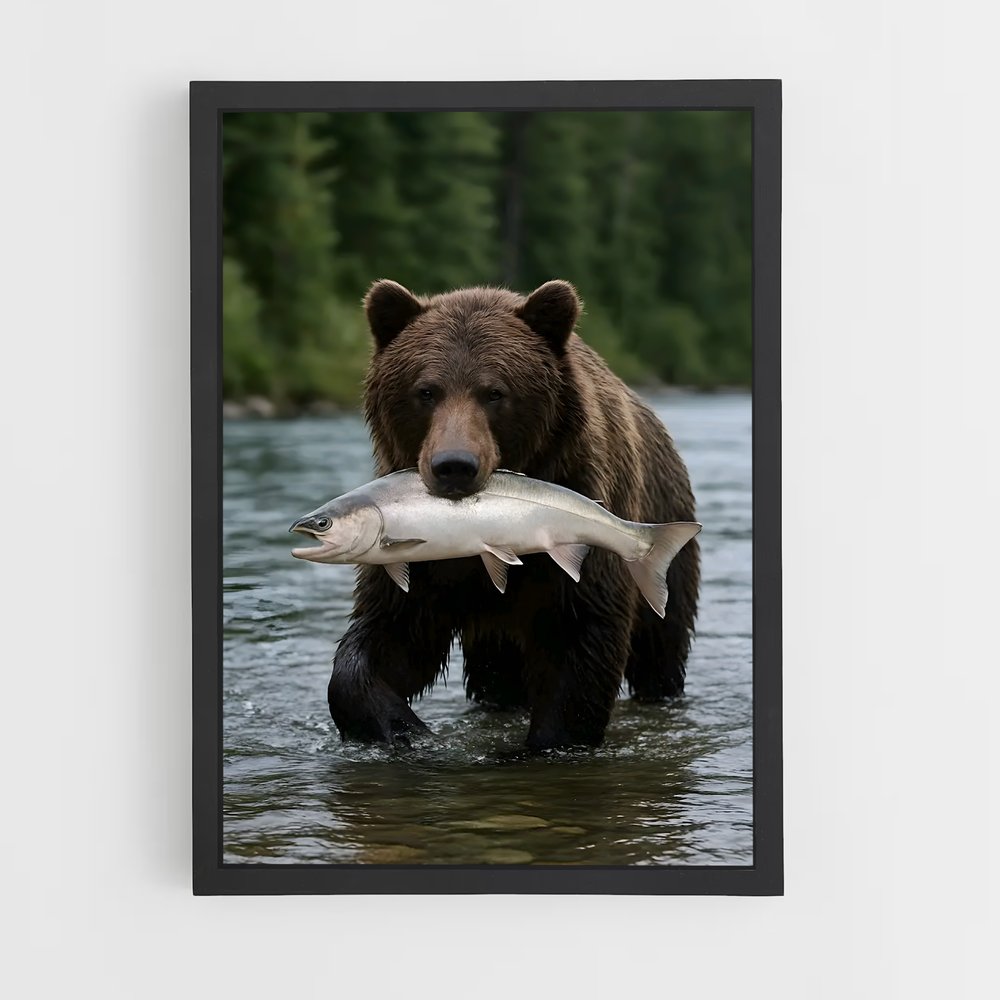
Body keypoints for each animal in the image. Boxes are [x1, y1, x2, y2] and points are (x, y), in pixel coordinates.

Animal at [327, 278, 700, 750]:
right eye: (426, 391)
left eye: (495, 392)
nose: (454, 465)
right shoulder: (423, 564)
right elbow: (389, 633)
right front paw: (400, 724)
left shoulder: (582, 517)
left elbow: (578, 639)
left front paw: (547, 742)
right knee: (495, 674)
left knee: (660, 645)